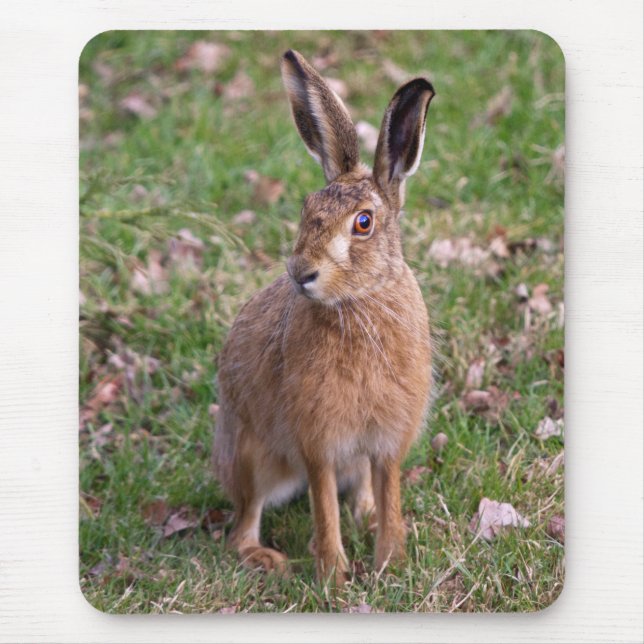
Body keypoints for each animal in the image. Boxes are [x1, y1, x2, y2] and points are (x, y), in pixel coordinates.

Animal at [213, 49, 435, 585]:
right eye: (306, 207)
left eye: (363, 223)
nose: (301, 272)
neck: (359, 303)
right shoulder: (317, 441)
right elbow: (322, 504)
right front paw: (334, 576)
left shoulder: (387, 441)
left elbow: (389, 491)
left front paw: (390, 562)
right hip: (254, 459)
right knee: (242, 525)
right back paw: (267, 559)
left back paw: (366, 516)